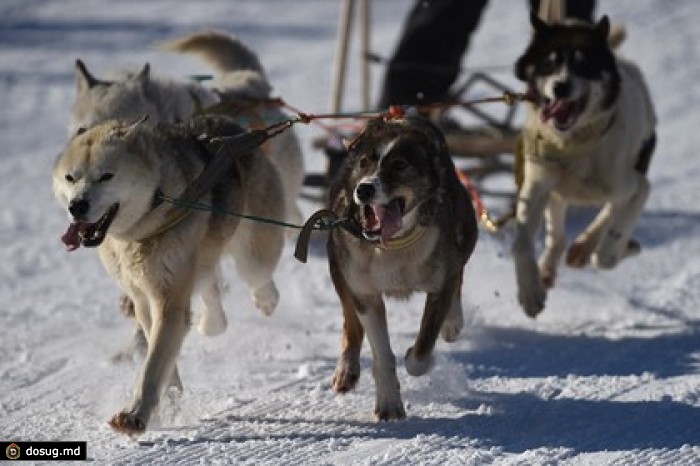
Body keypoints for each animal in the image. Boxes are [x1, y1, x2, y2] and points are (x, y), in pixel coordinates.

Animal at [508, 13, 656, 316]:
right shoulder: (536, 187)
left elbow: (606, 254)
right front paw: (529, 291)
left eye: (584, 64)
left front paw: (620, 248)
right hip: (556, 192)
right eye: (549, 63)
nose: (561, 86)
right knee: (557, 237)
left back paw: (586, 247)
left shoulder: (637, 186)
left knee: (610, 212)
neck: (574, 146)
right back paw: (548, 269)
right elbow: (521, 243)